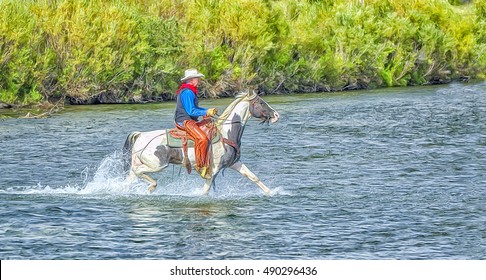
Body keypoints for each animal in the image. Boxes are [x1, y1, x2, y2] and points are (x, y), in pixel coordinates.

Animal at [123, 92, 280, 195]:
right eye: (261, 102)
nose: (276, 115)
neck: (226, 133)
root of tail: (140, 135)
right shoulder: (214, 169)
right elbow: (205, 190)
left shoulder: (234, 163)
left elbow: (253, 177)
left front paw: (270, 192)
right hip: (157, 165)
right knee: (139, 172)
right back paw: (152, 187)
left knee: (132, 177)